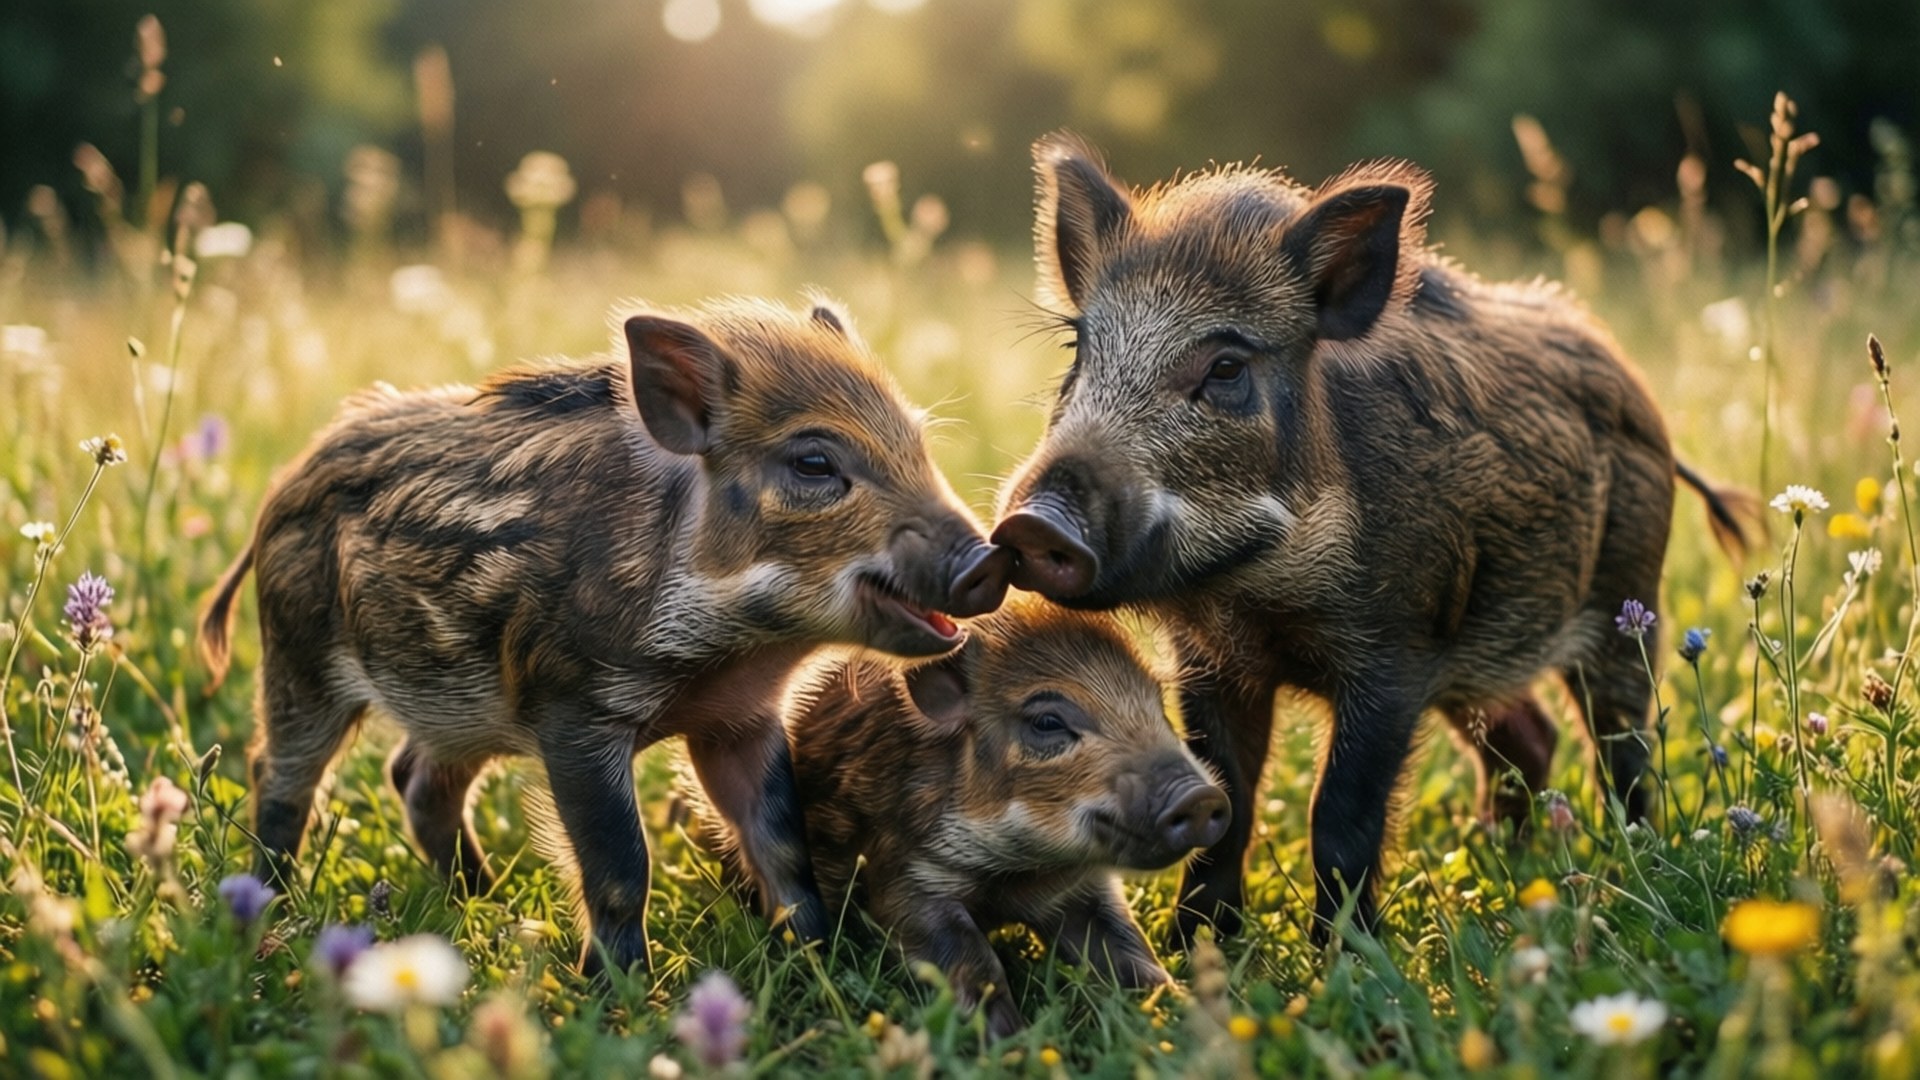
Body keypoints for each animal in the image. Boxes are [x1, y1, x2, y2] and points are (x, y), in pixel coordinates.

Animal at [198, 296, 1011, 974]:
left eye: (917, 444)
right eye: (814, 461)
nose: (988, 560)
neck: (736, 648)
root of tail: (285, 485)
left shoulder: (740, 719)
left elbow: (783, 847)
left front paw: (822, 962)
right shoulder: (573, 711)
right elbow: (621, 865)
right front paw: (622, 992)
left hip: (455, 708)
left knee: (417, 777)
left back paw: (484, 905)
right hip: (299, 657)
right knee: (281, 772)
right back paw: (270, 904)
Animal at [699, 595, 1228, 1037]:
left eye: (1158, 705)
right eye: (1047, 722)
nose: (1201, 796)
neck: (1017, 878)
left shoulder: (1084, 888)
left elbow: (1131, 952)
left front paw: (1181, 1015)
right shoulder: (905, 876)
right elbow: (971, 961)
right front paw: (1010, 1044)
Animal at [991, 135, 1750, 943]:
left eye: (1225, 366)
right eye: (1080, 349)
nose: (1033, 523)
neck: (1253, 593)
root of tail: (1644, 403)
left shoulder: (1395, 652)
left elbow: (1340, 816)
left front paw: (1345, 959)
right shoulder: (1211, 662)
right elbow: (1227, 804)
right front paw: (1196, 951)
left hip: (1625, 603)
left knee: (1623, 744)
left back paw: (1632, 859)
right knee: (1529, 734)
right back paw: (1505, 859)